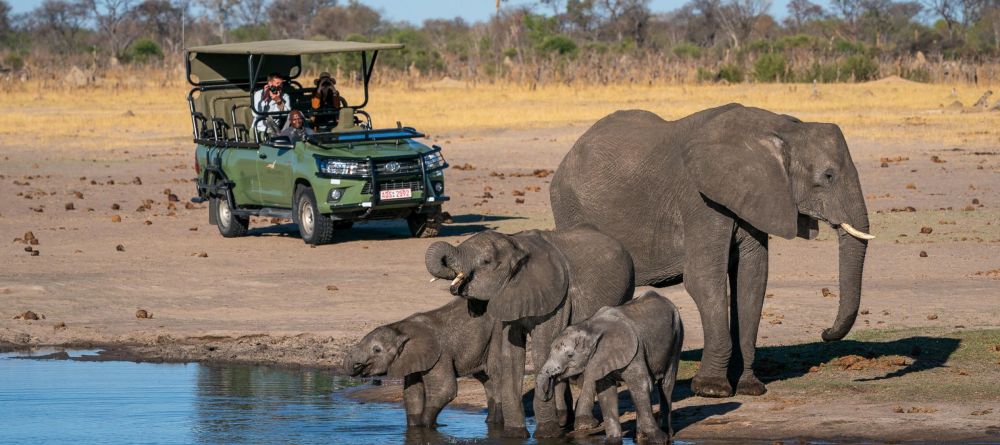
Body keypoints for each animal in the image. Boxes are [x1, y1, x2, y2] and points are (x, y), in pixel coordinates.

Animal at [344, 296, 500, 428]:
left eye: (377, 350)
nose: (358, 366)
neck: (401, 329)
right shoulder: (412, 357)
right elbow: (412, 393)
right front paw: (415, 427)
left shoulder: (440, 354)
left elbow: (444, 390)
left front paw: (427, 427)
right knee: (487, 380)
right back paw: (491, 422)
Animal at [424, 229, 632, 438]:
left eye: (486, 261)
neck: (516, 245)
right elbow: (510, 357)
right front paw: (514, 435)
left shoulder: (558, 299)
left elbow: (542, 351)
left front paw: (547, 434)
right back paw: (564, 419)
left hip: (623, 293)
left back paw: (583, 424)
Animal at [536, 290, 684, 442]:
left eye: (570, 355)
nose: (548, 390)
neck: (590, 328)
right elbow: (606, 393)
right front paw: (613, 440)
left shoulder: (634, 351)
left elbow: (641, 384)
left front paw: (659, 439)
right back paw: (639, 437)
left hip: (677, 334)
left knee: (666, 384)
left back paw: (665, 433)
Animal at [552, 104, 872, 396]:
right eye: (828, 176)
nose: (825, 333)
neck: (779, 128)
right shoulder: (700, 200)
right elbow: (703, 279)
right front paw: (712, 389)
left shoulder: (756, 197)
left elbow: (752, 278)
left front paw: (750, 387)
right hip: (570, 209)